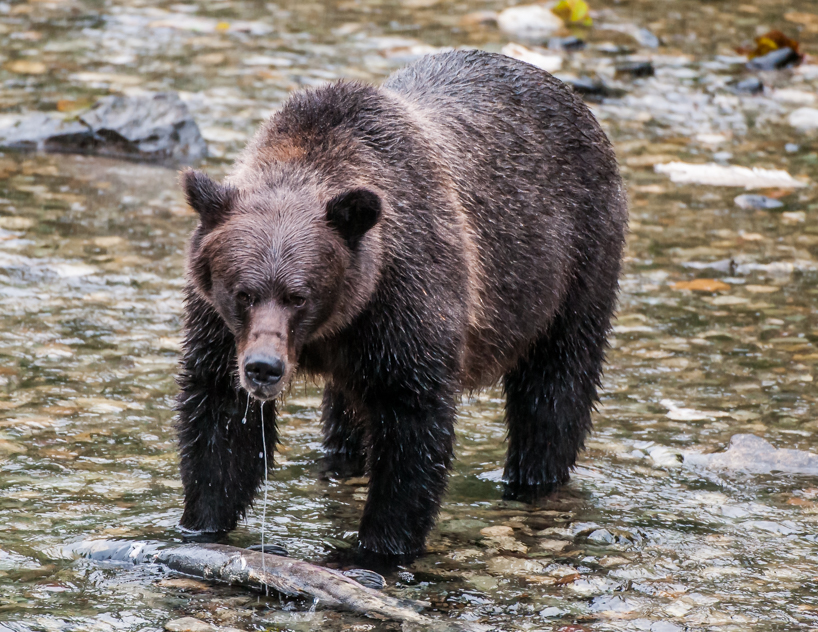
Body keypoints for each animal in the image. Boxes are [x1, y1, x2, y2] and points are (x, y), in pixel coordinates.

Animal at [175, 49, 627, 559]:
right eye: (243, 293)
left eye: (298, 295)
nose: (264, 368)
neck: (334, 324)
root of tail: (568, 94)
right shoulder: (218, 327)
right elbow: (221, 419)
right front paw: (200, 526)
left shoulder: (406, 302)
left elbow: (412, 428)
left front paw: (378, 548)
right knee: (345, 415)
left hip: (574, 263)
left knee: (554, 390)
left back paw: (532, 480)